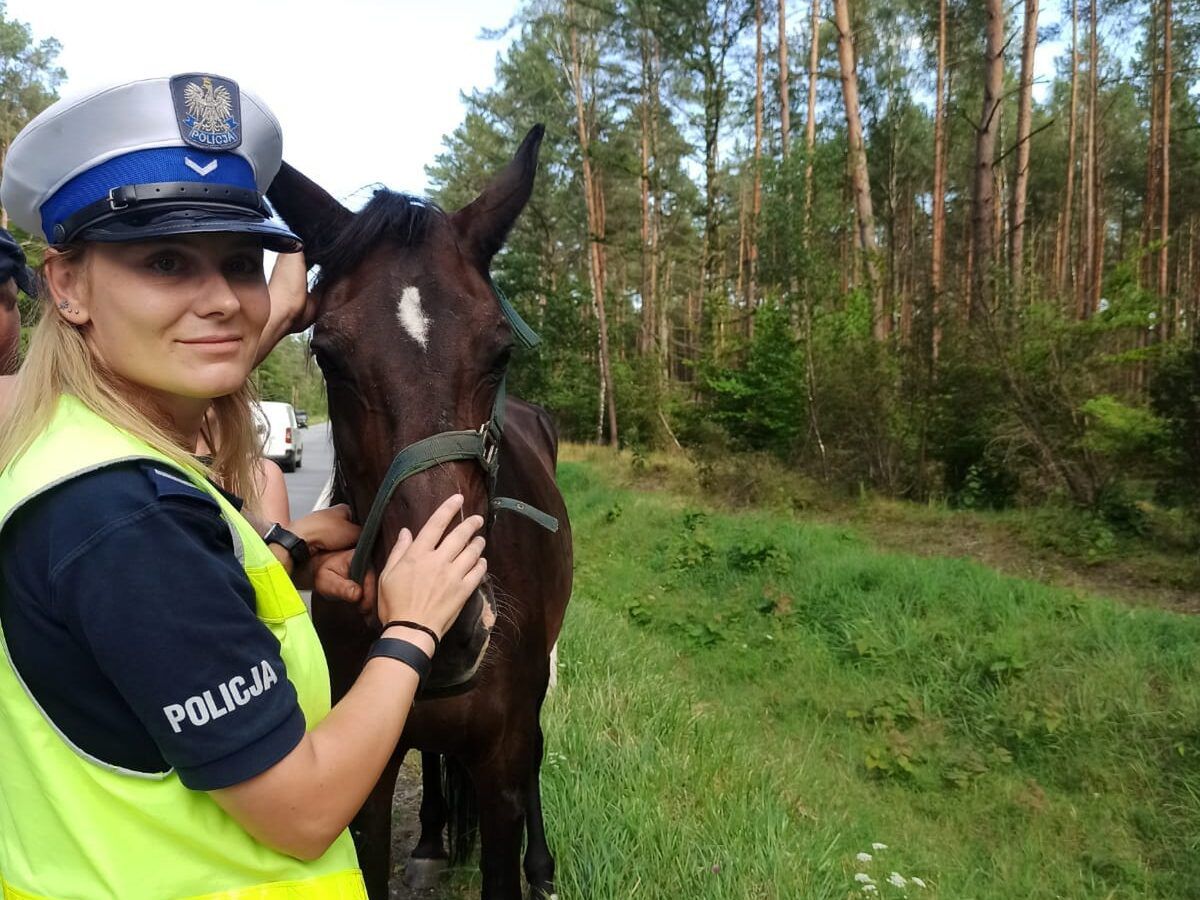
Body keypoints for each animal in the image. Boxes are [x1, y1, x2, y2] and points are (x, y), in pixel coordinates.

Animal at [267, 127, 571, 900]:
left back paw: (542, 865)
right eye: (328, 356)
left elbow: (516, 788)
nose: (455, 622)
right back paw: (434, 836)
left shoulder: (499, 769)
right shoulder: (363, 779)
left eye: (499, 353)